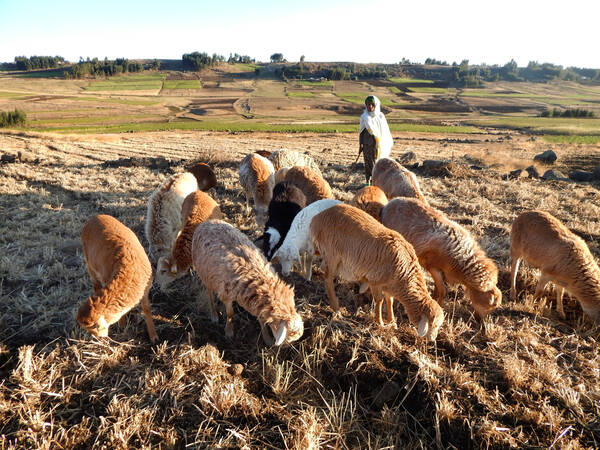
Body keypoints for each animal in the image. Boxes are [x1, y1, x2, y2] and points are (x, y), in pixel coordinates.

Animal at [77, 214, 157, 342]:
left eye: (94, 328)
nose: (100, 338)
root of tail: (95, 217)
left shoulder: (145, 289)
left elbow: (146, 309)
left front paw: (153, 336)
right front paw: (122, 324)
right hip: (89, 264)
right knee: (95, 285)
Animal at [310, 204, 446, 342]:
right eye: (433, 325)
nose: (433, 340)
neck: (405, 275)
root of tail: (317, 218)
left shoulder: (389, 285)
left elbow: (390, 301)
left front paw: (392, 322)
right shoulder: (375, 281)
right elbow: (379, 300)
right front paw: (379, 322)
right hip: (332, 254)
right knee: (328, 280)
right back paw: (336, 309)